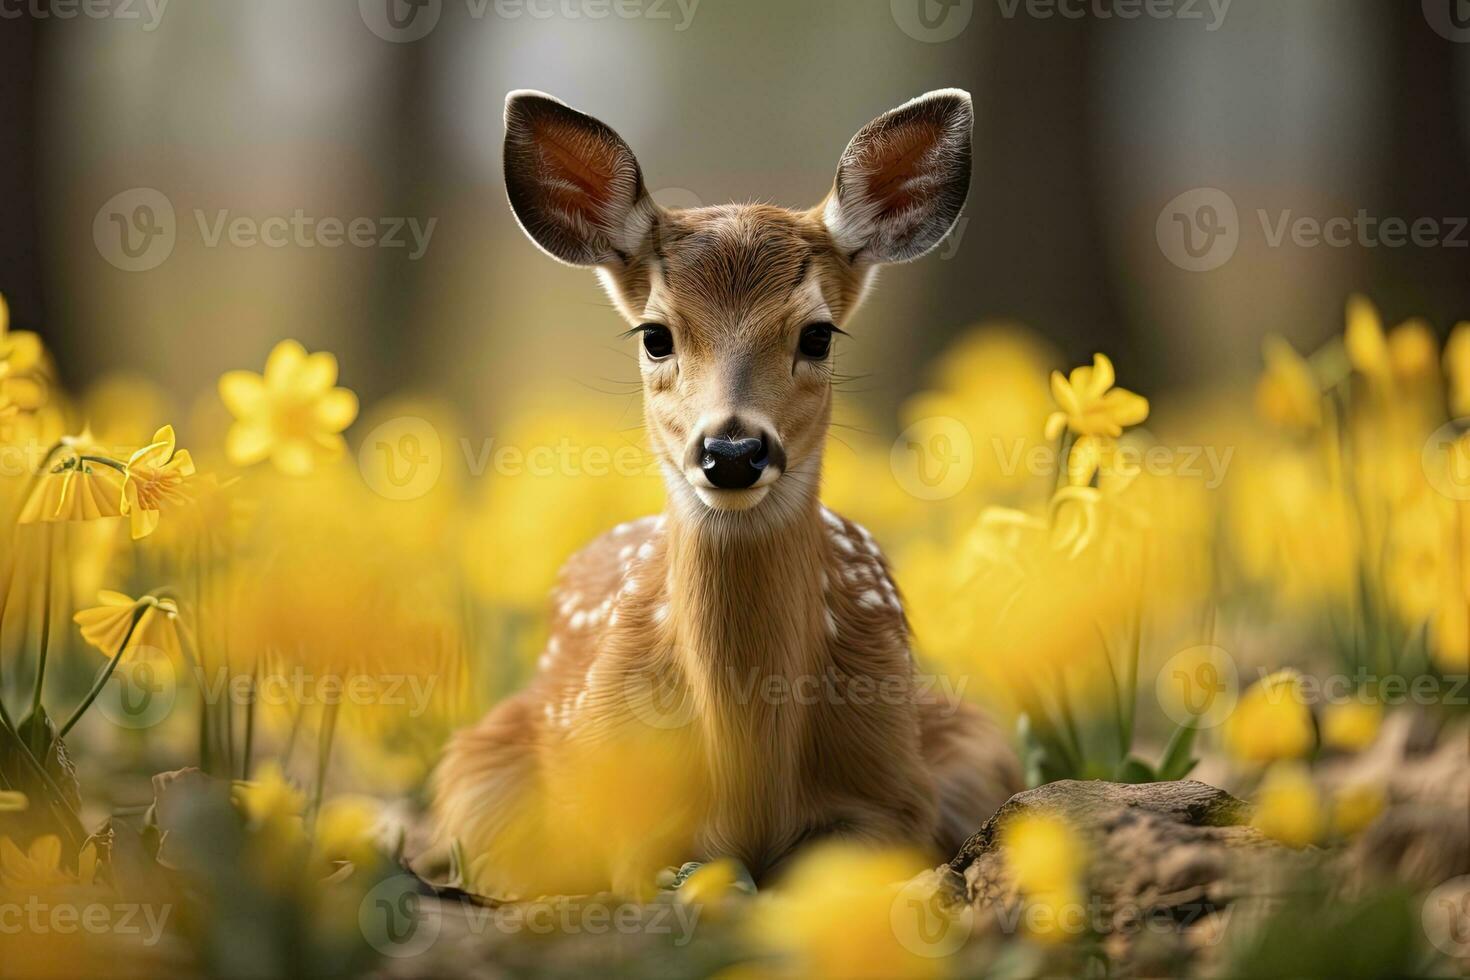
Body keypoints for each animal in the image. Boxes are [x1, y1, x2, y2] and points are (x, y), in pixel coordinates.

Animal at [429, 88, 1017, 899]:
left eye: (817, 335)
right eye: (655, 335)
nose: (733, 451)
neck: (752, 777)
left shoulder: (897, 786)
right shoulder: (622, 805)